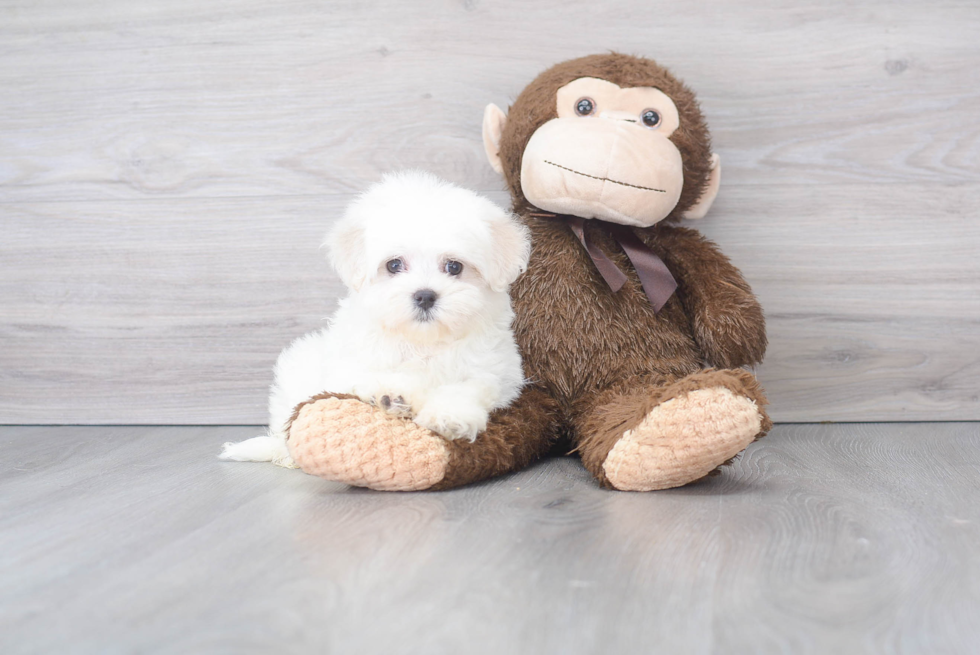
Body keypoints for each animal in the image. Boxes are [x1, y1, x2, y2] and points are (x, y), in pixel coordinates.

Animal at [219, 169, 532, 466]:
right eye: (394, 265)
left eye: (454, 267)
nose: (425, 295)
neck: (422, 341)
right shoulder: (350, 365)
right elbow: (370, 376)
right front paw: (392, 395)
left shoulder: (495, 370)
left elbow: (468, 387)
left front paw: (450, 416)